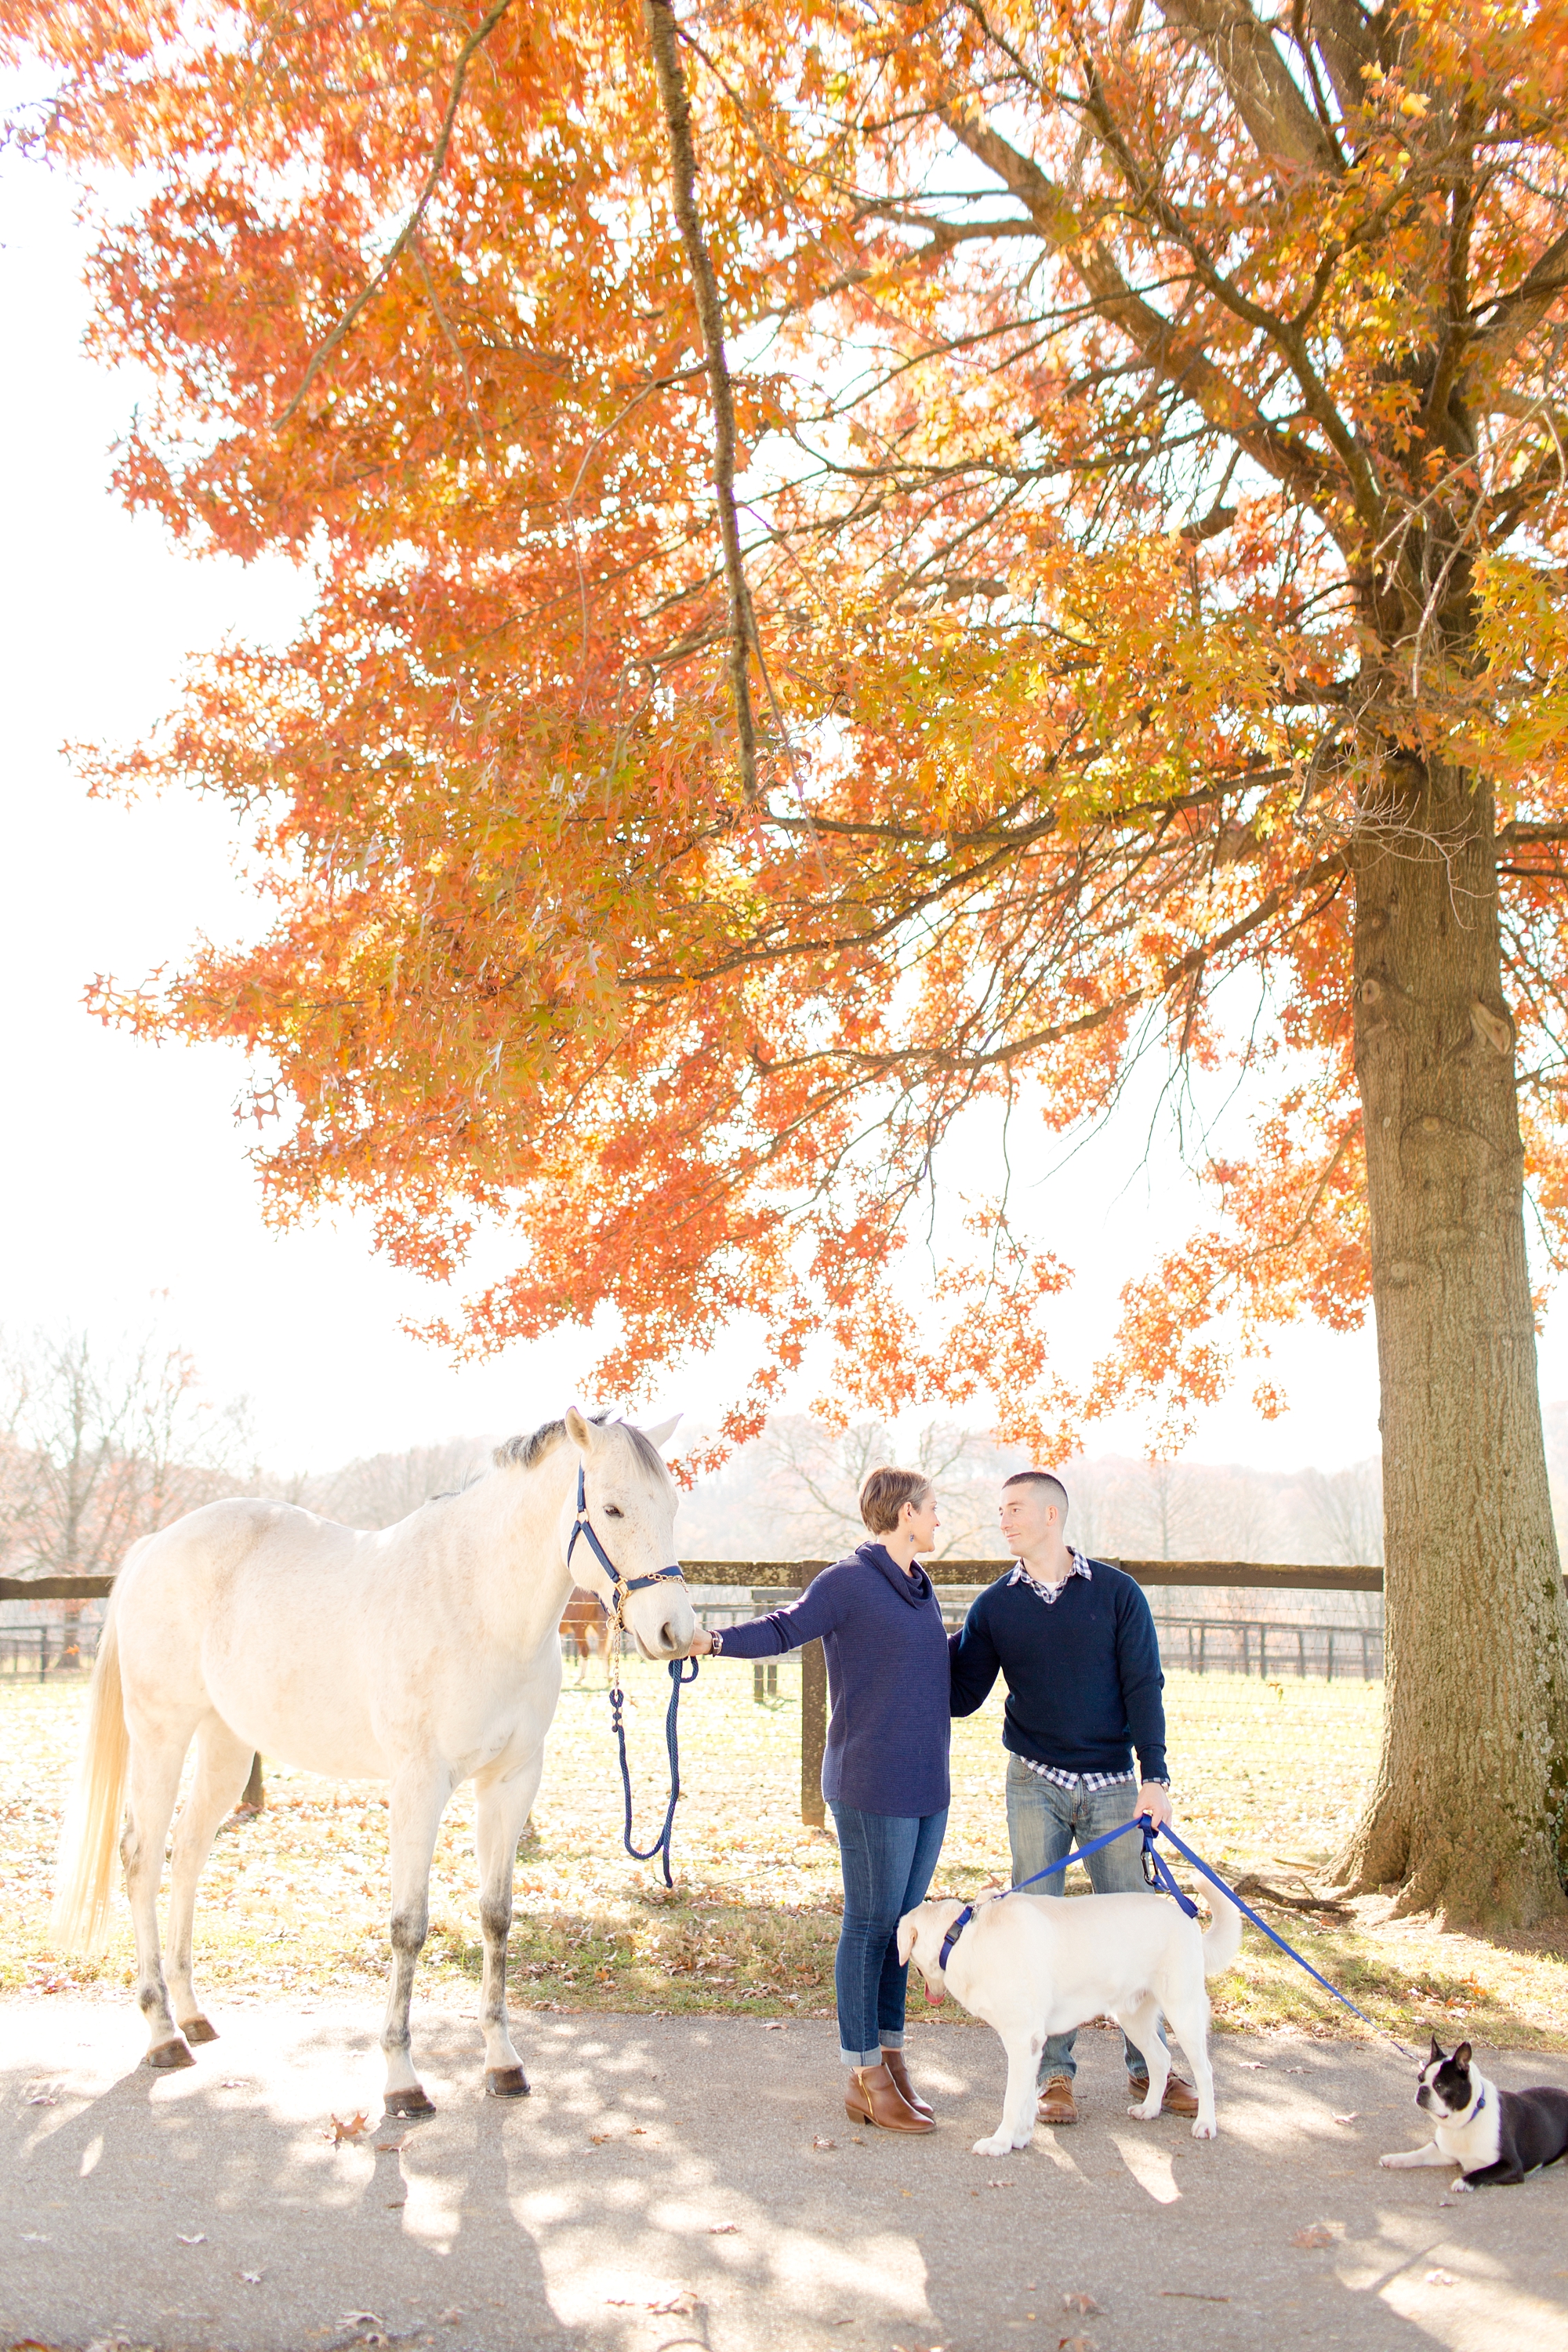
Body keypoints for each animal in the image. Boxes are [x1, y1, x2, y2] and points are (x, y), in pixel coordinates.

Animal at [53, 1402, 691, 2107]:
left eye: (670, 1506)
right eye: (611, 1509)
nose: (677, 1632)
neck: (476, 1603)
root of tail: (152, 1547)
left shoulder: (511, 1782)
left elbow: (496, 1917)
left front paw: (502, 2063)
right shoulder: (419, 1786)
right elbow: (408, 1926)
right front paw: (401, 2079)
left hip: (225, 1746)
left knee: (189, 1854)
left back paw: (192, 2015)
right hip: (161, 1735)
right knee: (141, 1859)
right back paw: (163, 2033)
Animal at [902, 1882, 1241, 2154]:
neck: (960, 1936)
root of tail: (1188, 1920)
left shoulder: (1022, 2040)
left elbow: (1012, 2101)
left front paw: (1000, 2143)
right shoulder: (1032, 2045)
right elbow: (1026, 2099)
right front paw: (1020, 2137)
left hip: (1183, 2012)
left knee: (1205, 2071)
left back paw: (1206, 2124)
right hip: (1133, 2018)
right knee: (1160, 2059)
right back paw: (1150, 2109)